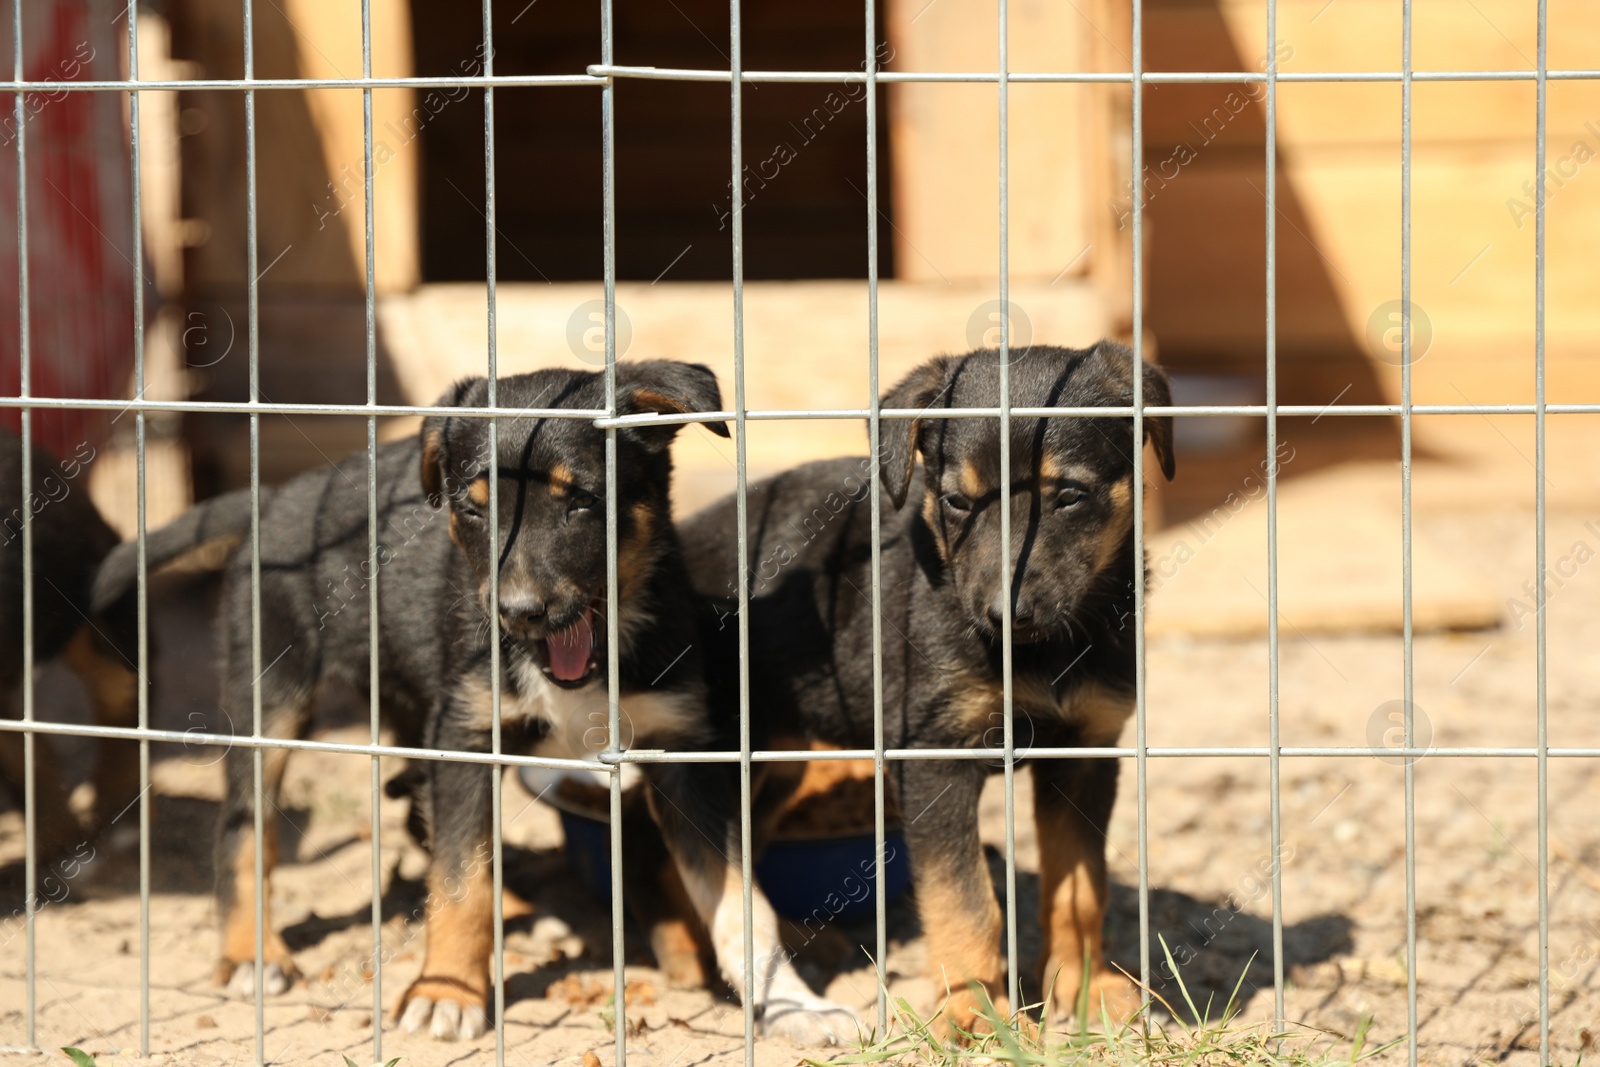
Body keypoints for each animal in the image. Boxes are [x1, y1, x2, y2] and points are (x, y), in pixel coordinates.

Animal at [90, 363, 851, 1049]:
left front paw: (791, 1005)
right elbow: (460, 884)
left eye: (583, 501)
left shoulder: (685, 753)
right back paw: (252, 952)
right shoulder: (464, 734)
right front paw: (446, 992)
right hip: (271, 696)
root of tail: (276, 499)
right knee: (246, 829)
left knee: (418, 816)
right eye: (474, 507)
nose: (517, 614)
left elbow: (740, 902)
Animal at [678, 342, 1177, 1036]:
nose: (1004, 613)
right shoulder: (936, 759)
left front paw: (1085, 994)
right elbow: (966, 899)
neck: (1040, 654)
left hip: (775, 758)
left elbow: (1079, 891)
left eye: (1070, 496)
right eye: (958, 503)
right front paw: (976, 1013)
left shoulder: (1085, 755)